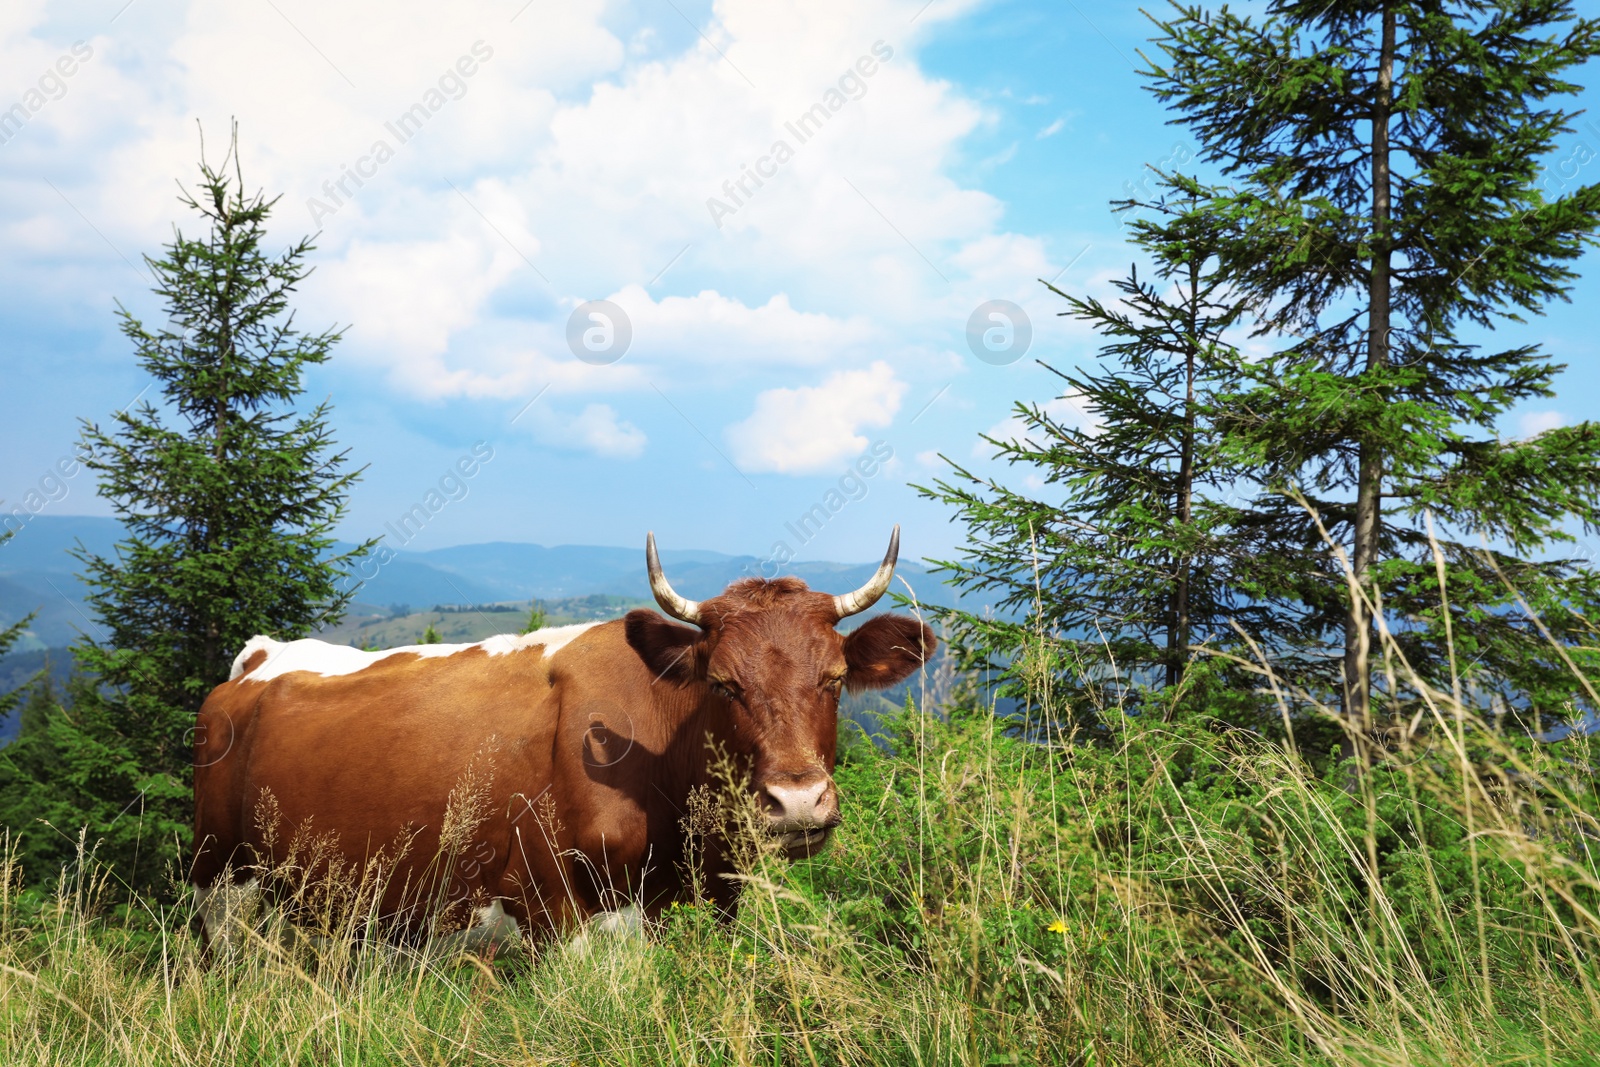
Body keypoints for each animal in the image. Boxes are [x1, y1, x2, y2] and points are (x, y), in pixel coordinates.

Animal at [192, 524, 934, 953]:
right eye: (723, 684)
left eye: (834, 679)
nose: (799, 801)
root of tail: (262, 657)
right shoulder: (562, 917)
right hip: (224, 888)